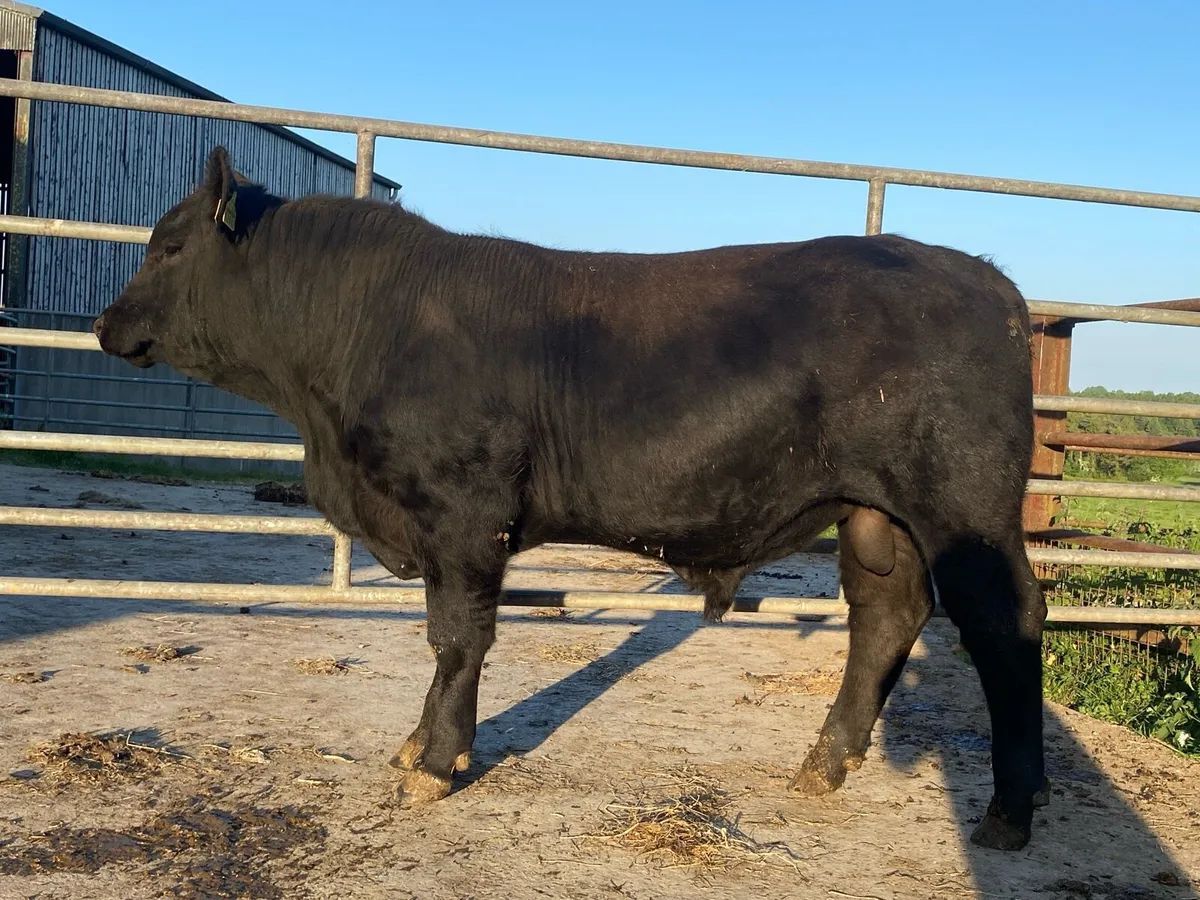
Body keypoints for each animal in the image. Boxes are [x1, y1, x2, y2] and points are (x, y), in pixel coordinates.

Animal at [94, 146, 1049, 851]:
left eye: (169, 245)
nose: (105, 324)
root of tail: (988, 280)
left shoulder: (464, 515)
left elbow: (457, 638)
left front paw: (435, 764)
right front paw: (417, 746)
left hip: (964, 506)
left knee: (1006, 621)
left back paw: (1010, 811)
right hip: (874, 514)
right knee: (887, 615)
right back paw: (825, 763)